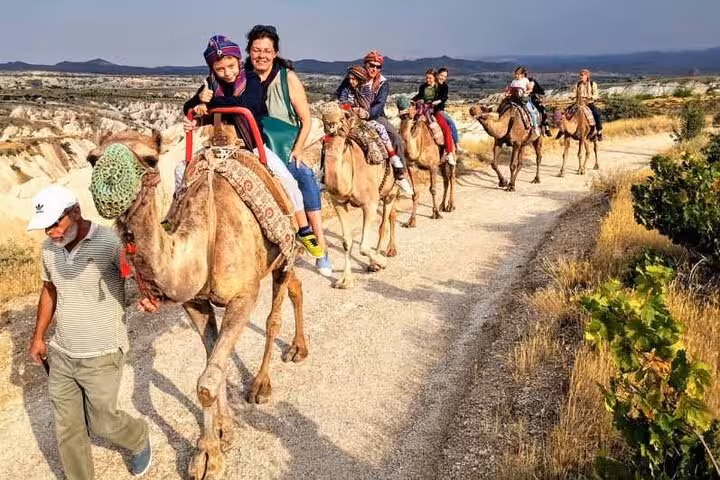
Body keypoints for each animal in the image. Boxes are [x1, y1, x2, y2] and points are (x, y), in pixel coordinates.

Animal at [86, 126, 308, 480]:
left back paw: (261, 384)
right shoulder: (195, 304)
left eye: (150, 158)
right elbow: (212, 362)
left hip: (282, 252)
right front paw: (222, 432)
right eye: (93, 159)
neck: (204, 239)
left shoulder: (243, 296)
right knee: (296, 287)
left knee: (275, 313)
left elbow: (206, 382)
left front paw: (207, 457)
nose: (108, 190)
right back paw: (299, 348)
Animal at [321, 105, 398, 289]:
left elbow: (363, 247)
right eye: (323, 117)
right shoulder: (338, 202)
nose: (330, 124)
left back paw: (380, 259)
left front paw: (380, 263)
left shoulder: (369, 203)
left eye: (342, 116)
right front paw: (344, 280)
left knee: (383, 224)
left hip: (390, 191)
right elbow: (346, 242)